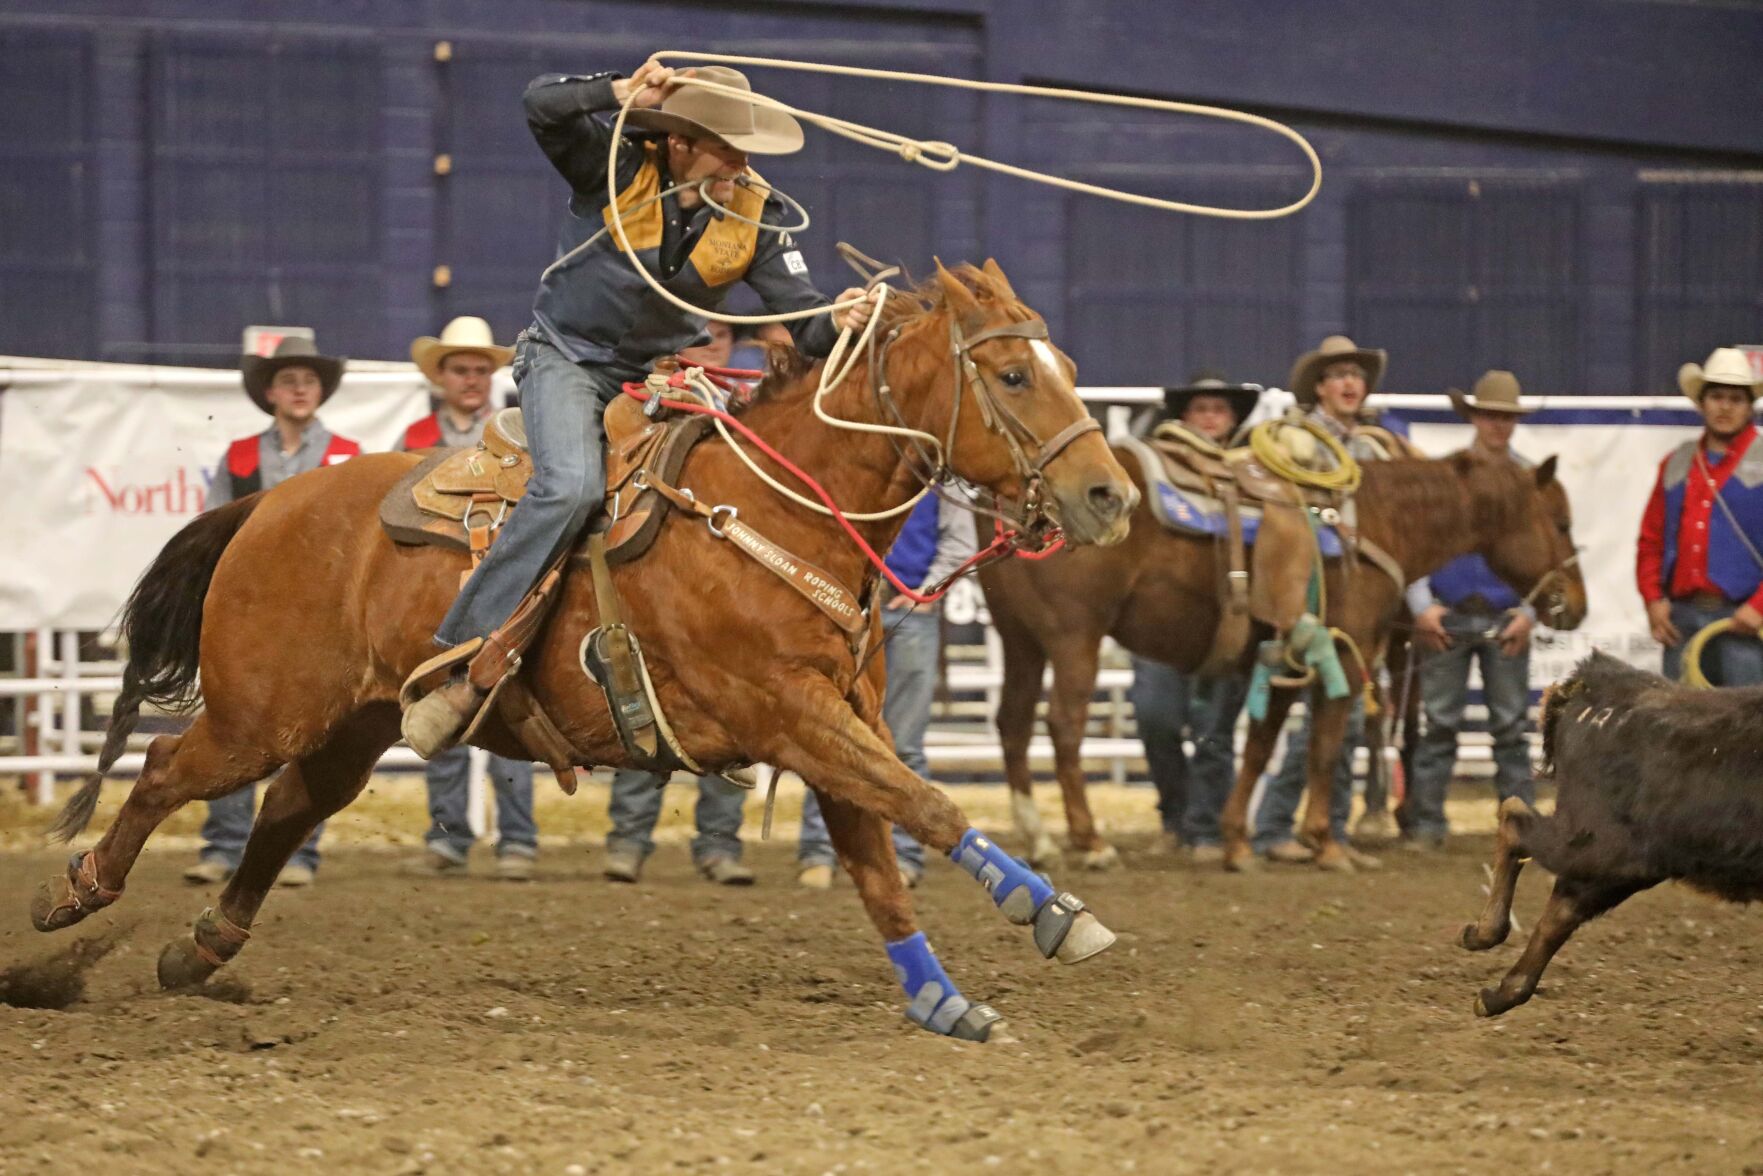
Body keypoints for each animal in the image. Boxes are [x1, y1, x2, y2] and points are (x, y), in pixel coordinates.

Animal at [37, 264, 1142, 1036]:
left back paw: (199, 952)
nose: (1109, 495)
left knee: (286, 811)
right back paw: (71, 899)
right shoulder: (789, 712)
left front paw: (941, 1001)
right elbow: (927, 804)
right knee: (166, 769)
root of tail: (267, 505)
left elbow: (882, 856)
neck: (779, 508)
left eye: (1066, 373)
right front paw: (1052, 912)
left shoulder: (837, 720)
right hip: (259, 713)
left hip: (348, 723)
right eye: (1011, 374)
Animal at [987, 451, 1593, 874]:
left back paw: (1039, 840)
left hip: (1021, 643)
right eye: (1562, 522)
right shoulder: (1345, 655)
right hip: (1074, 640)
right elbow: (1325, 749)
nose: (1577, 606)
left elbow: (1258, 748)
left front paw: (1237, 843)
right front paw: (1326, 845)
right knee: (1063, 727)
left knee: (1013, 725)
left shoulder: (1281, 661)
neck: (1374, 521)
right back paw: (1090, 842)